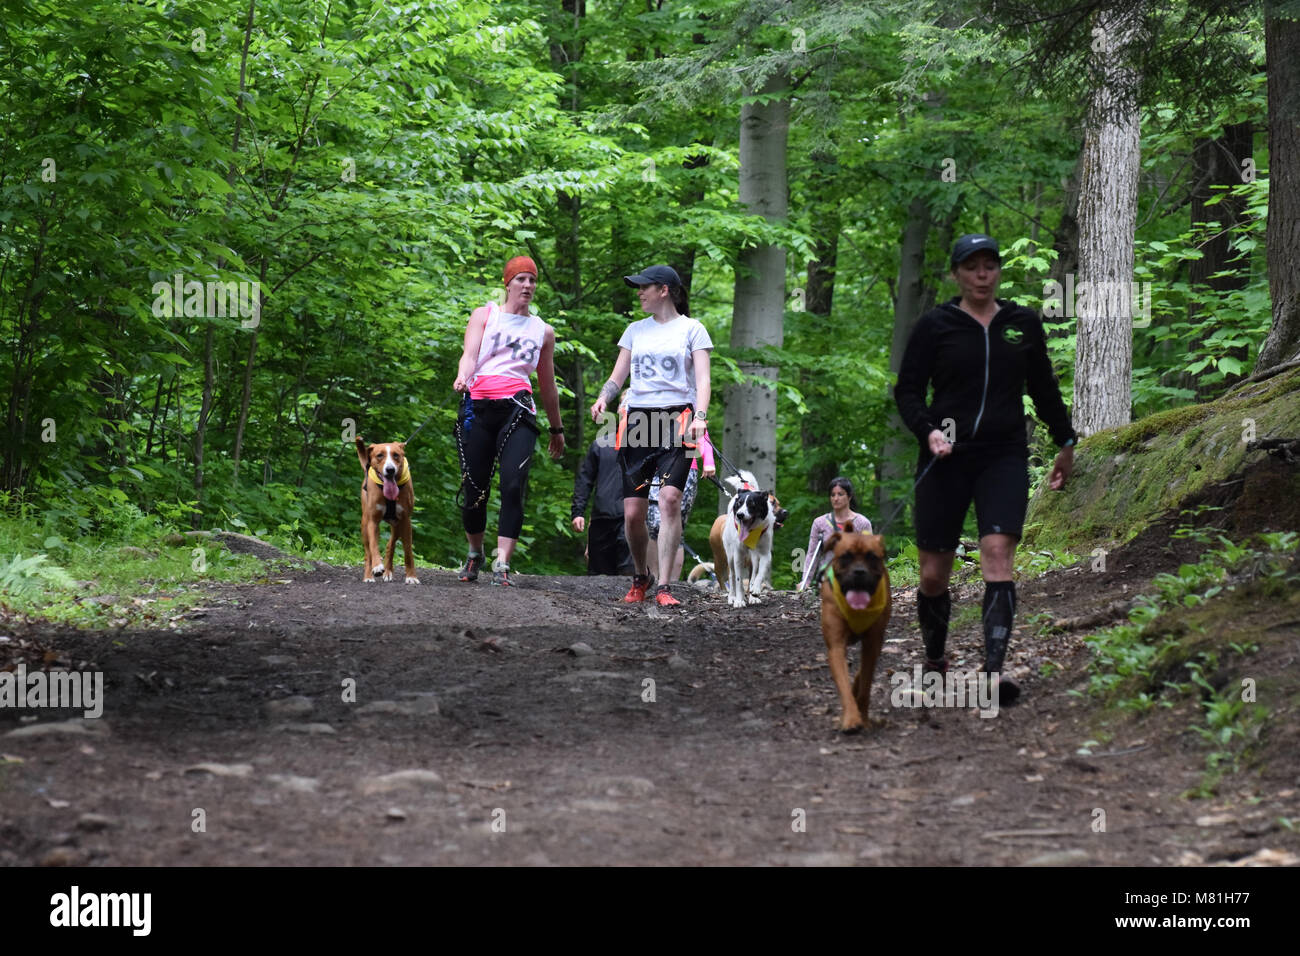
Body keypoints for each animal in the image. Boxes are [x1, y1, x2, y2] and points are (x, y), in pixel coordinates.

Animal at [353, 439, 418, 582]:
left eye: (396, 455)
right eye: (379, 455)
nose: (390, 470)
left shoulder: (406, 521)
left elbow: (408, 551)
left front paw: (411, 576)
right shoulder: (372, 521)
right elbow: (374, 545)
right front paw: (377, 566)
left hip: (397, 525)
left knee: (390, 545)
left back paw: (388, 571)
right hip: (364, 525)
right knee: (367, 553)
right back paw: (369, 576)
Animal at [821, 522, 894, 733]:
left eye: (872, 557)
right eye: (846, 556)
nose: (859, 572)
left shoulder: (872, 641)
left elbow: (866, 685)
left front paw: (864, 717)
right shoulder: (836, 646)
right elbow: (844, 684)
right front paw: (851, 719)